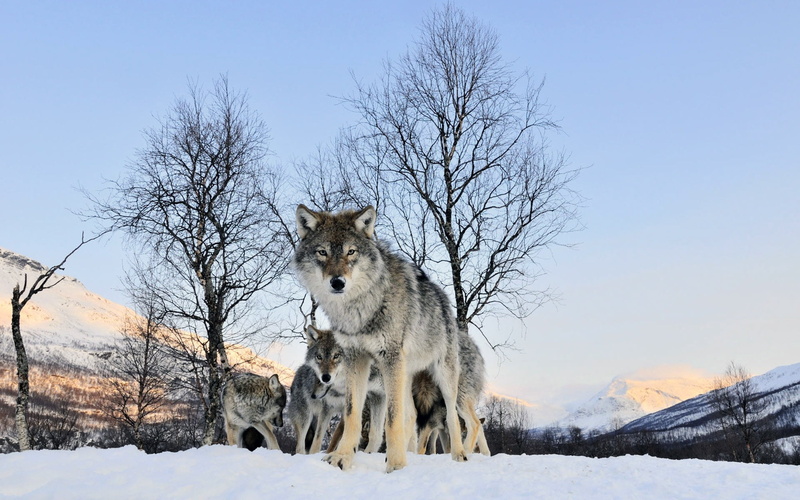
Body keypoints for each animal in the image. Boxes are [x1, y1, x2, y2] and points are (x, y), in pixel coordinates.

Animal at [288, 325, 385, 455]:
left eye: (336, 356)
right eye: (319, 357)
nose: (312, 395)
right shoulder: (327, 409)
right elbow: (319, 440)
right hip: (305, 418)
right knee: (300, 445)